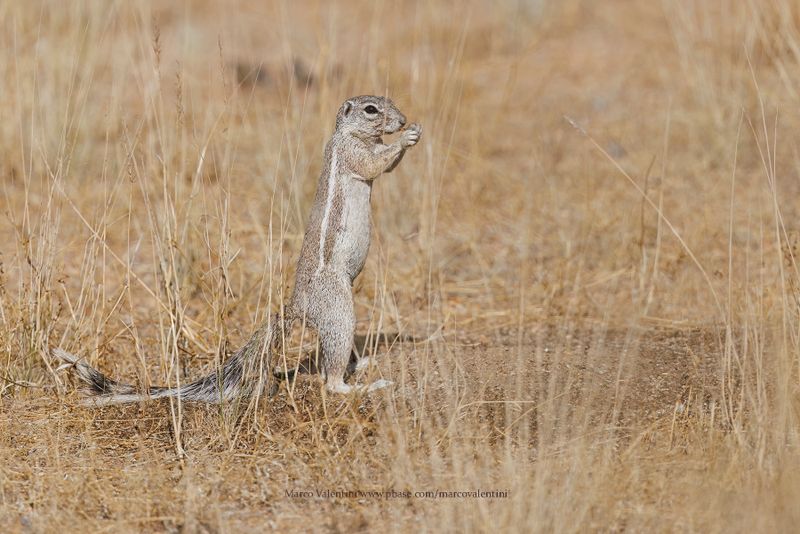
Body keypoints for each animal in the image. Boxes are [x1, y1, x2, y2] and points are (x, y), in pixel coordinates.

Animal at [53, 96, 422, 406]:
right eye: (371, 109)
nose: (403, 120)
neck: (353, 135)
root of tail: (297, 308)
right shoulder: (352, 153)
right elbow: (375, 164)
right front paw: (406, 138)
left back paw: (362, 364)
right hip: (339, 309)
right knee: (328, 379)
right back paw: (362, 385)